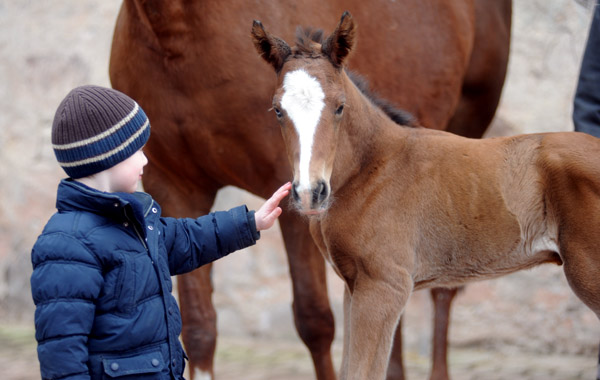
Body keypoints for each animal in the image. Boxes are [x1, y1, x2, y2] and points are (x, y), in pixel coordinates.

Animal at [109, 1, 510, 378]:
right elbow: (198, 325)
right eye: (276, 111)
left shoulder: (297, 201)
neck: (175, 32)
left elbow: (314, 320)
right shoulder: (174, 188)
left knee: (445, 284)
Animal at [251, 12, 600, 380]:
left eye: (339, 107)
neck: (370, 168)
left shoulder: (384, 286)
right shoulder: (353, 285)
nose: (310, 193)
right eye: (278, 110)